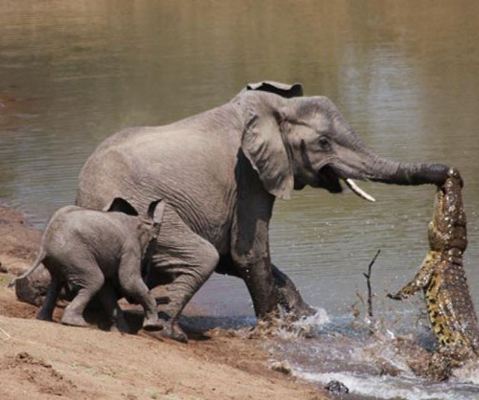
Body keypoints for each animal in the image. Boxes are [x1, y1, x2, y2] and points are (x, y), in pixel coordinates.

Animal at [10, 197, 166, 332]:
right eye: (154, 240)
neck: (140, 220)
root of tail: (44, 245)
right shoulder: (130, 248)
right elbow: (128, 281)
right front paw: (154, 327)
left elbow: (107, 291)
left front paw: (122, 331)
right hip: (75, 254)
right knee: (94, 280)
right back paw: (76, 323)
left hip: (62, 258)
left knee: (57, 282)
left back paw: (44, 319)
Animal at [76, 81, 450, 340]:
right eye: (323, 143)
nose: (448, 173)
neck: (274, 109)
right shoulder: (248, 176)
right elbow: (248, 253)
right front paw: (275, 331)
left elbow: (235, 258)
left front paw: (307, 317)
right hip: (142, 212)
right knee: (202, 256)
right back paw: (169, 331)